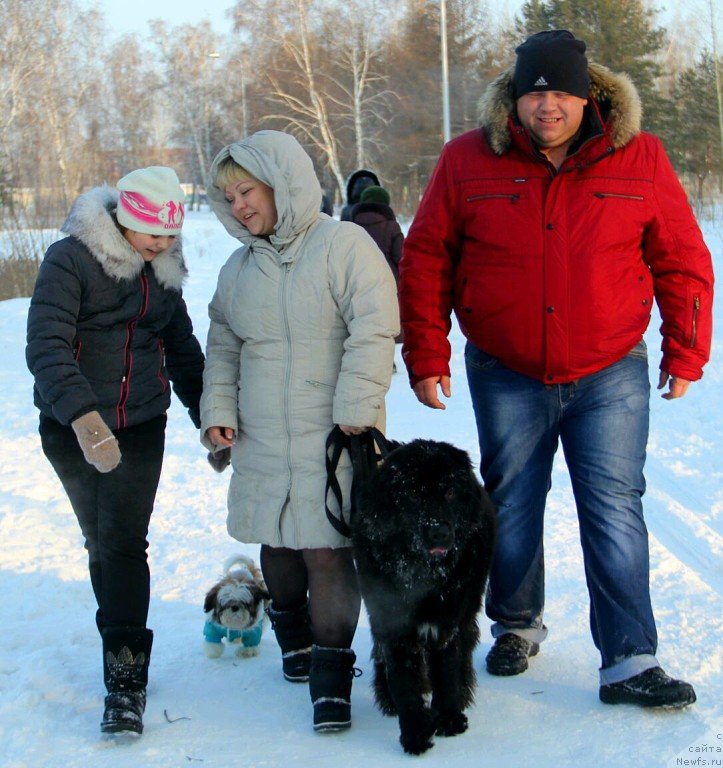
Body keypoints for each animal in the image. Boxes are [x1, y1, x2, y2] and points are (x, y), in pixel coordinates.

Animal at [352, 438, 498, 756]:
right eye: (414, 495)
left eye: (450, 492)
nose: (440, 532)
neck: (422, 573)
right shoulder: (392, 625)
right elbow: (405, 684)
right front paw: (415, 734)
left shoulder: (449, 622)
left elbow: (447, 672)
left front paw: (449, 718)